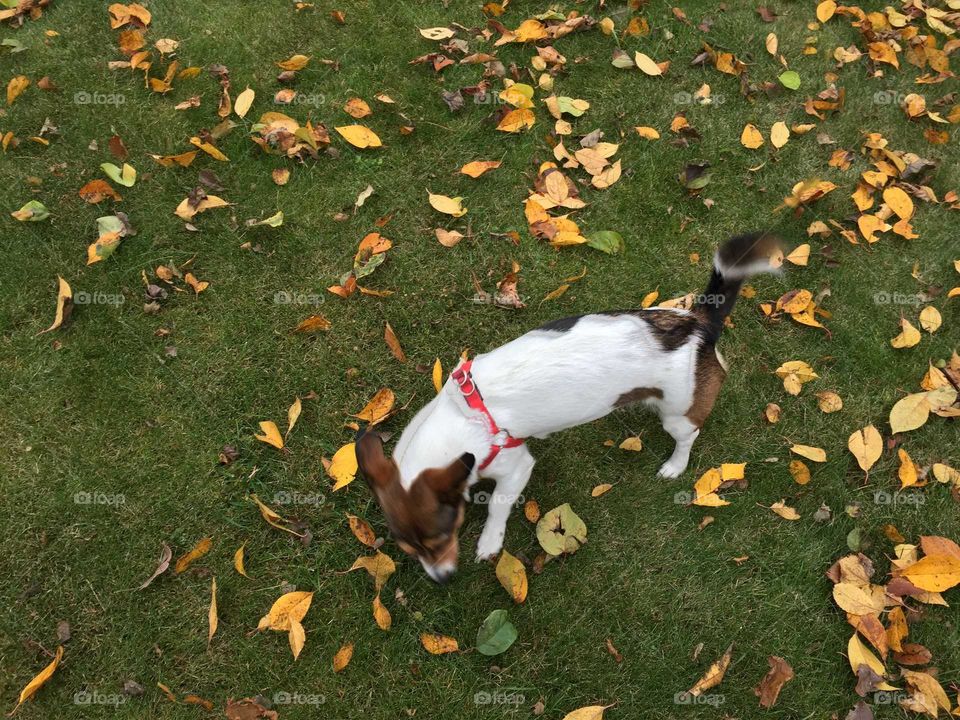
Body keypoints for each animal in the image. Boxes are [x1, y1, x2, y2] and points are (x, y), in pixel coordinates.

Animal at [358, 233, 780, 584]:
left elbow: (496, 505)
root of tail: (698, 324)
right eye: (410, 549)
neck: (461, 416)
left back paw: (675, 465)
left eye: (443, 537)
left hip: (679, 413)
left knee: (687, 436)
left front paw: (490, 542)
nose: (441, 580)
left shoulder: (515, 467)